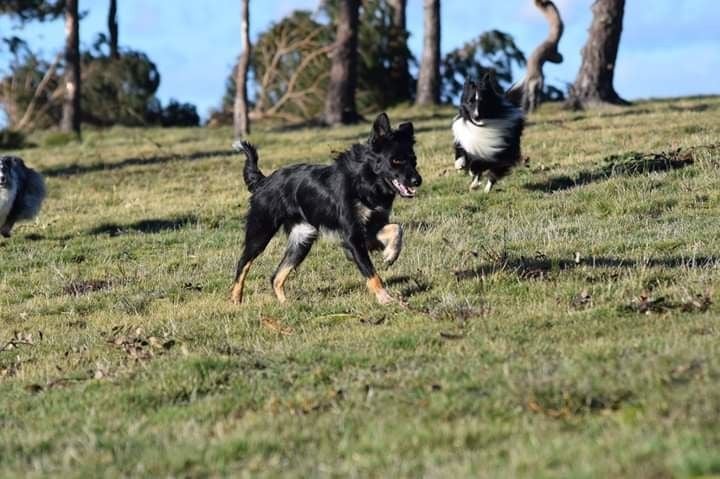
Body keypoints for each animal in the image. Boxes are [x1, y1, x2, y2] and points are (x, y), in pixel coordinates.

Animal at [231, 113, 422, 306]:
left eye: (414, 160)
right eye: (395, 160)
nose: (417, 181)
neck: (365, 180)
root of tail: (264, 181)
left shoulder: (370, 229)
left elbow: (397, 228)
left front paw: (391, 254)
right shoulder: (353, 237)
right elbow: (372, 273)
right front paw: (385, 298)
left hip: (303, 239)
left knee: (276, 277)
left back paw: (286, 305)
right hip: (260, 233)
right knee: (242, 264)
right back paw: (235, 300)